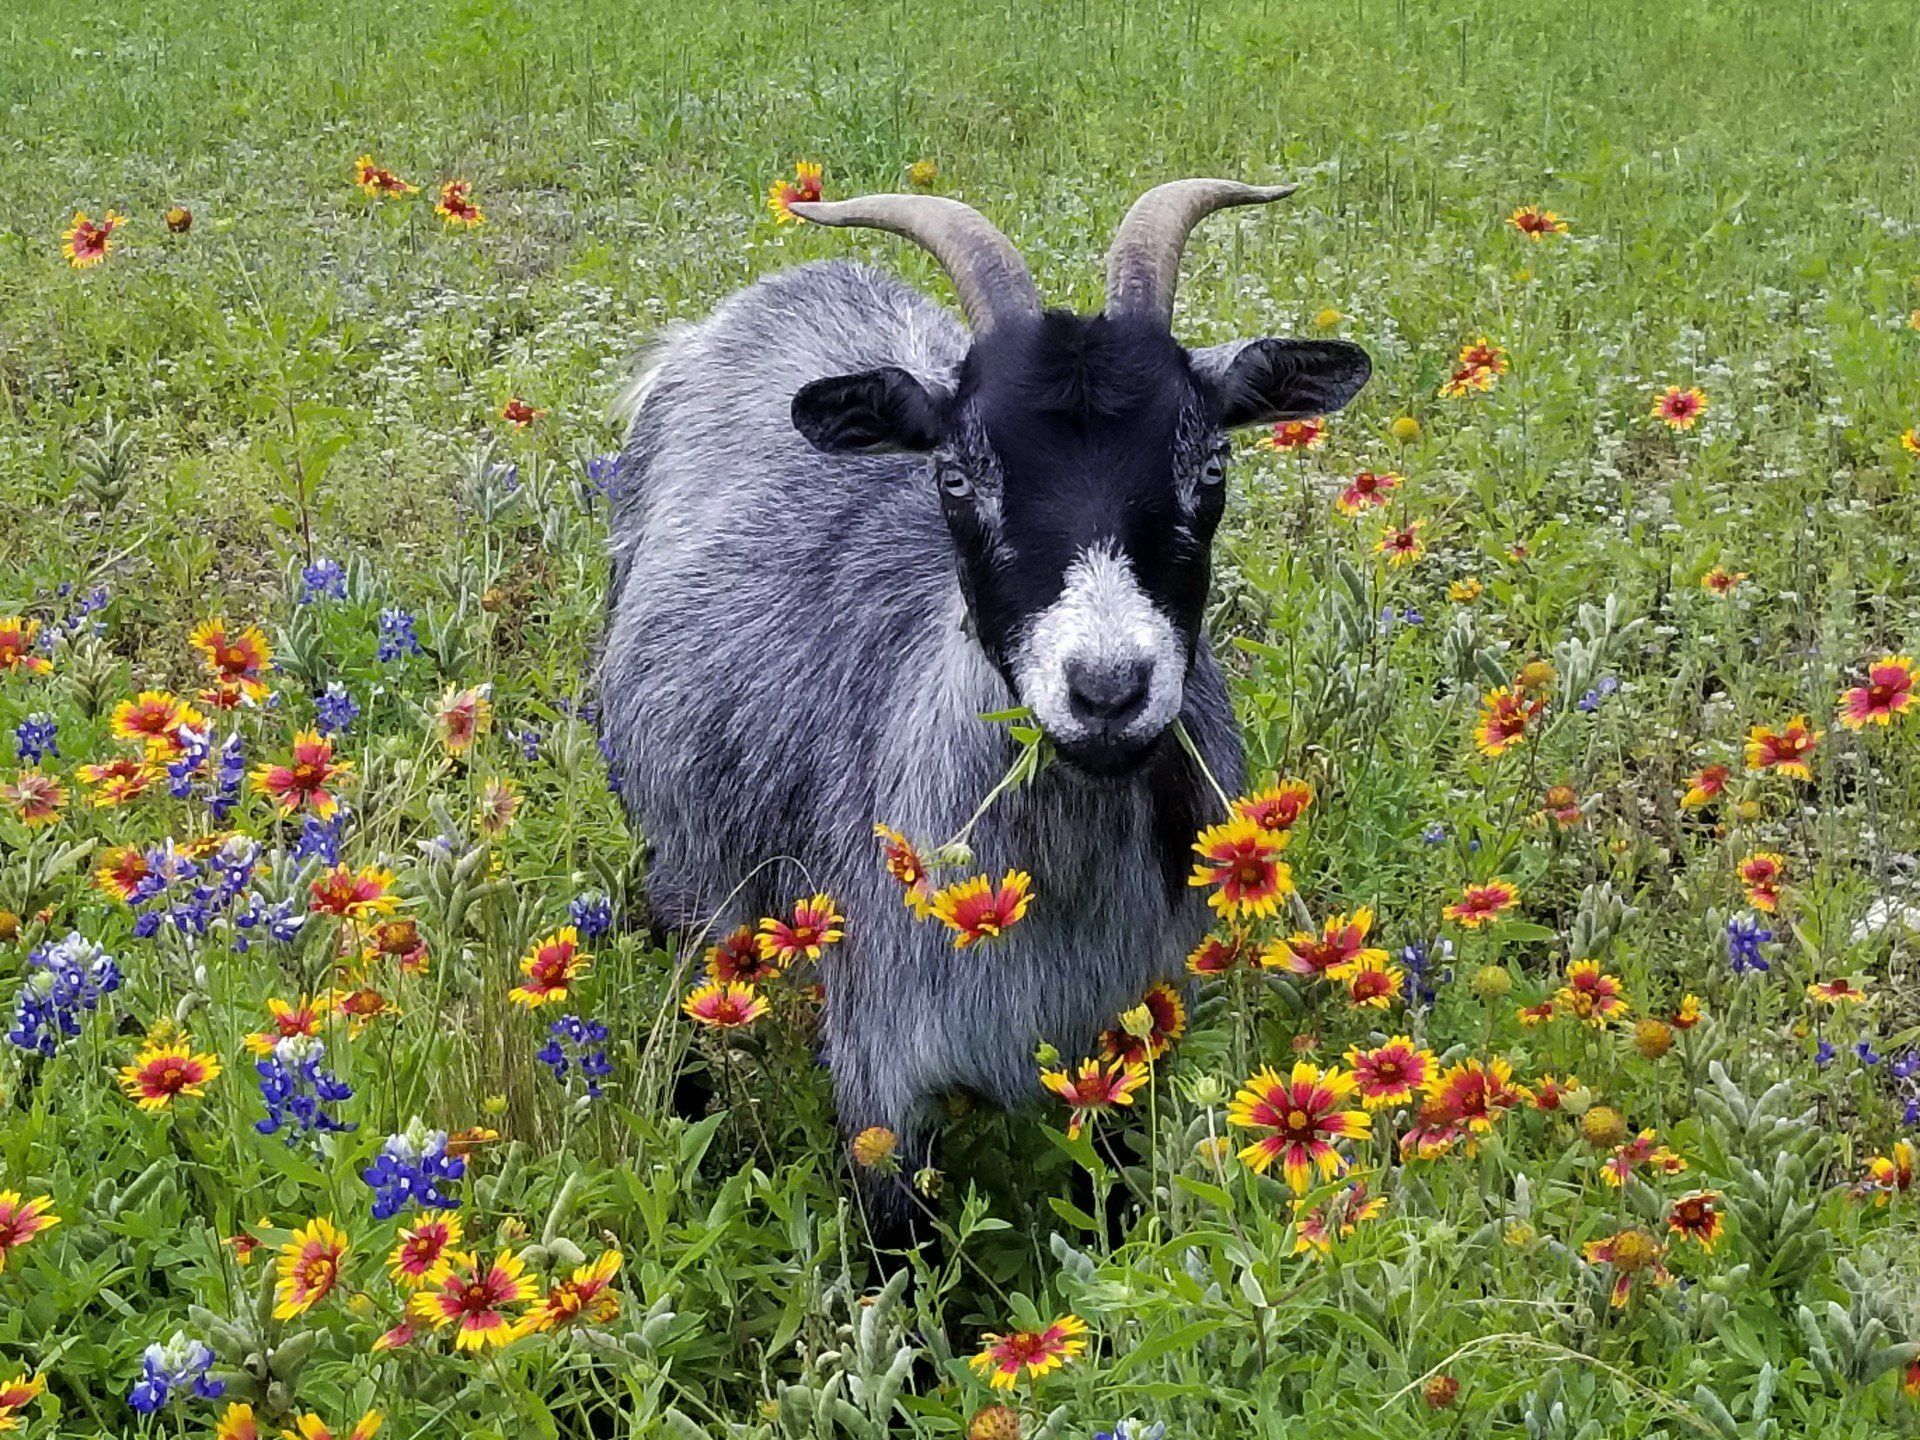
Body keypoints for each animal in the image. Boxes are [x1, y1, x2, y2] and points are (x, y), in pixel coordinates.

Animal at [599, 180, 1371, 1226]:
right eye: (957, 475)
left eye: (1211, 467)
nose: (1107, 689)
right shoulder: (883, 1070)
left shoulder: (1134, 1035)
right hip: (688, 855)